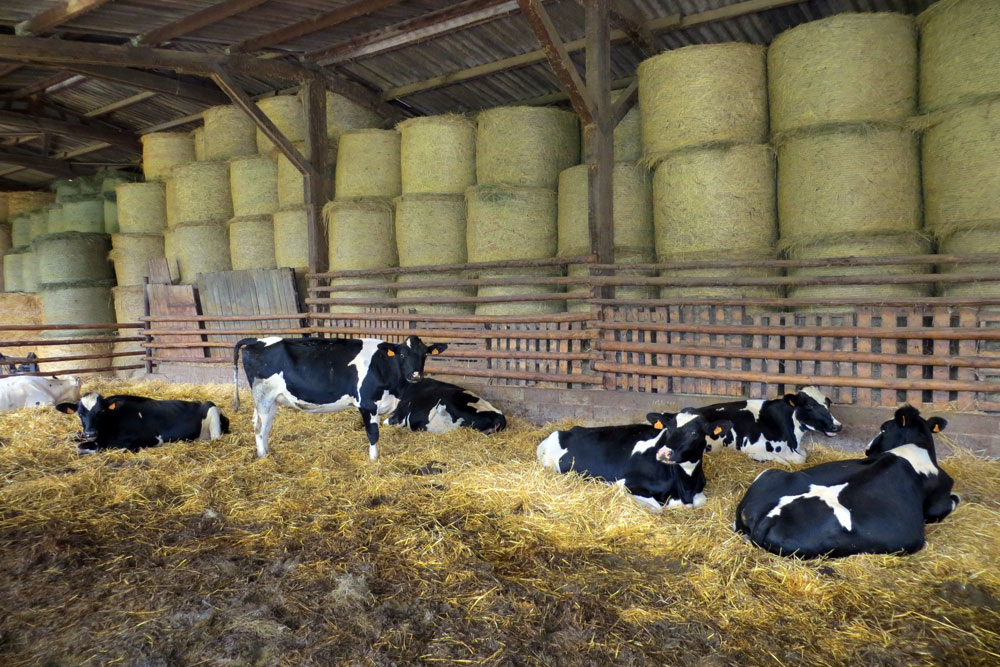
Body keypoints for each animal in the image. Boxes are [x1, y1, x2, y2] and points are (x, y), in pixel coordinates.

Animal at [56, 393, 230, 454]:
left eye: (101, 412)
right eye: (80, 413)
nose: (90, 433)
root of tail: (199, 402)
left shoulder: (151, 439)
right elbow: (78, 443)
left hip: (212, 412)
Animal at [233, 335, 448, 460]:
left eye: (424, 355)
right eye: (401, 354)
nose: (415, 375)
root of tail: (256, 340)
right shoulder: (367, 404)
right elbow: (373, 434)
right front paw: (374, 460)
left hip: (272, 400)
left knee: (264, 425)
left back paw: (267, 452)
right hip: (264, 396)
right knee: (259, 427)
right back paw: (262, 457)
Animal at [536, 410, 733, 511]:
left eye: (694, 432)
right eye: (669, 428)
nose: (663, 453)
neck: (684, 485)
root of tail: (566, 430)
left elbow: (700, 502)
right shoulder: (628, 483)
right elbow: (659, 508)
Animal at [694, 386, 842, 464]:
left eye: (828, 404)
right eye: (809, 406)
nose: (837, 426)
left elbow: (803, 456)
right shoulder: (752, 447)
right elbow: (793, 460)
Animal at [733, 405, 958, 558]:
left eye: (884, 430)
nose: (867, 450)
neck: (916, 448)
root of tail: (768, 516)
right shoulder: (939, 504)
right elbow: (955, 499)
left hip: (769, 474)